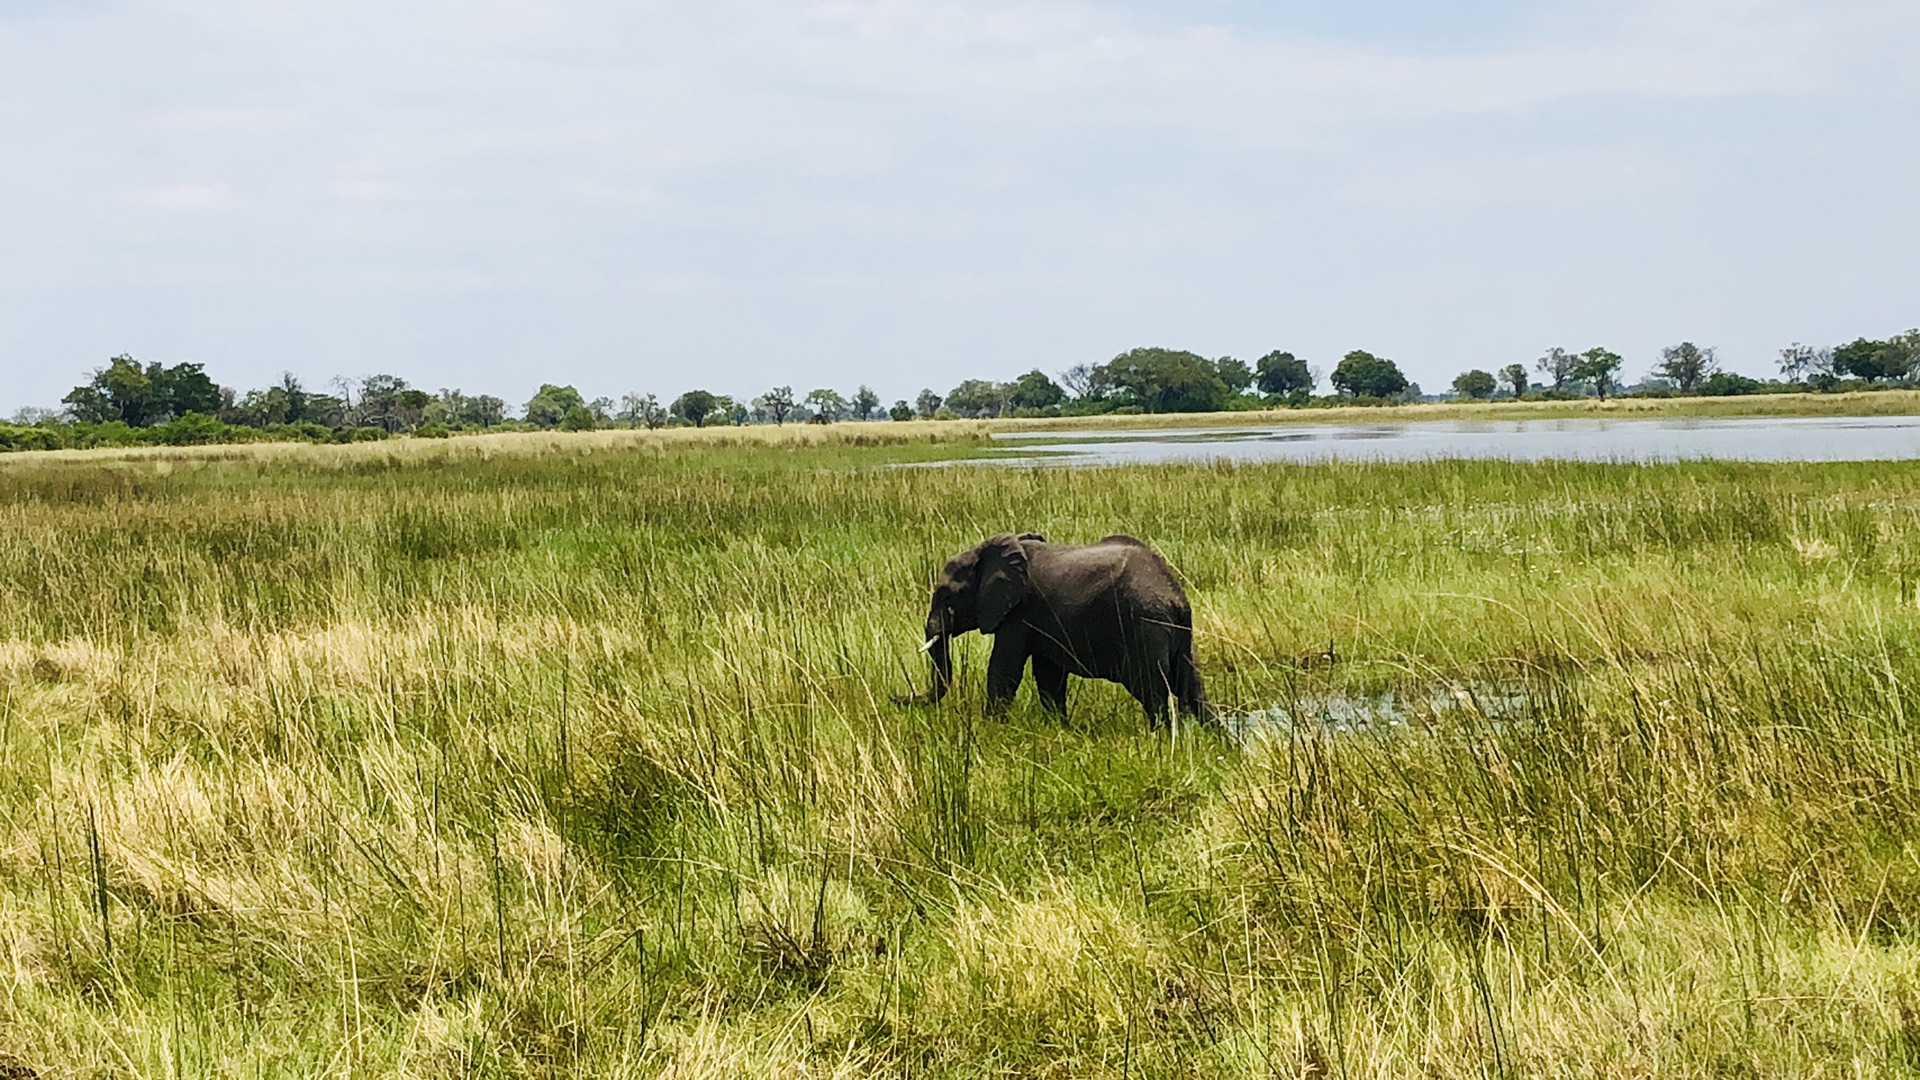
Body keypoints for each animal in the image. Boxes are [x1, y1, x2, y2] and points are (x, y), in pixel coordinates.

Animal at [910, 530, 1205, 722]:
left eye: (947, 595)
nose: (902, 699)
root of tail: (1174, 595)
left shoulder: (1018, 612)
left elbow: (1004, 671)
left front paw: (990, 729)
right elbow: (1049, 679)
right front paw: (1060, 730)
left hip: (1144, 625)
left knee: (1154, 692)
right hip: (1178, 633)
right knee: (1191, 688)